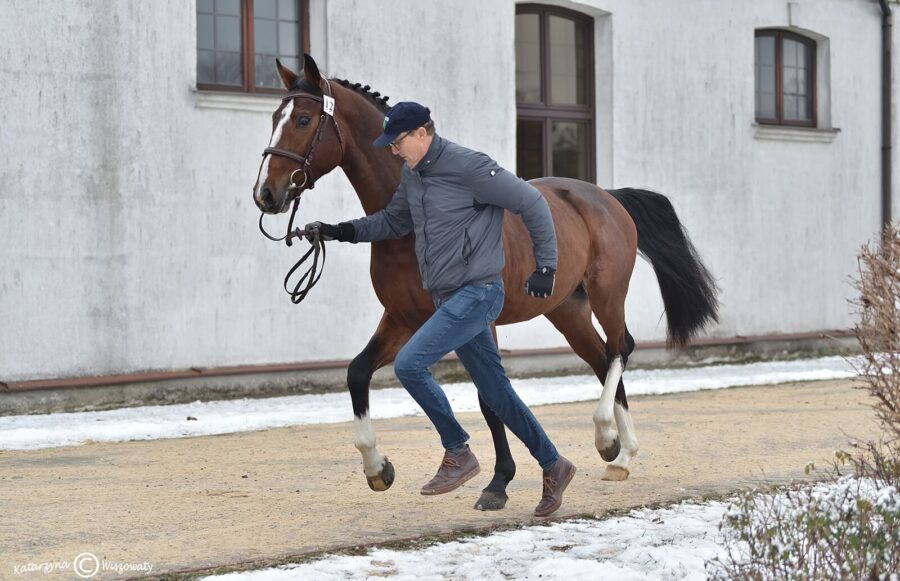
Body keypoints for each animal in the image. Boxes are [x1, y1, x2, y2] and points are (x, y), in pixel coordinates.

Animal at [253, 54, 716, 508]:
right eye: (274, 115)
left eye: (303, 120)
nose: (266, 194)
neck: (408, 233)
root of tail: (606, 197)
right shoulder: (403, 319)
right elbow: (357, 372)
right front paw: (377, 467)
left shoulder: (476, 323)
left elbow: (490, 398)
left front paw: (498, 483)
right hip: (567, 310)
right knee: (602, 359)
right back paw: (615, 448)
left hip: (607, 294)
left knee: (620, 348)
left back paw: (616, 447)